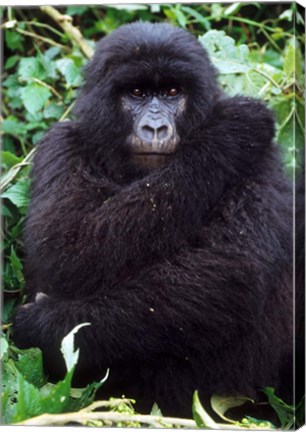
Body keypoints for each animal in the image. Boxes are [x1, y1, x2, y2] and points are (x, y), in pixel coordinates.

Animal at [13, 22, 292, 416]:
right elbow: (67, 250)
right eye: (137, 92)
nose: (156, 128)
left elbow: (229, 270)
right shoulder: (58, 144)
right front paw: (232, 130)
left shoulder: (263, 160)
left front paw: (44, 326)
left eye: (173, 92)